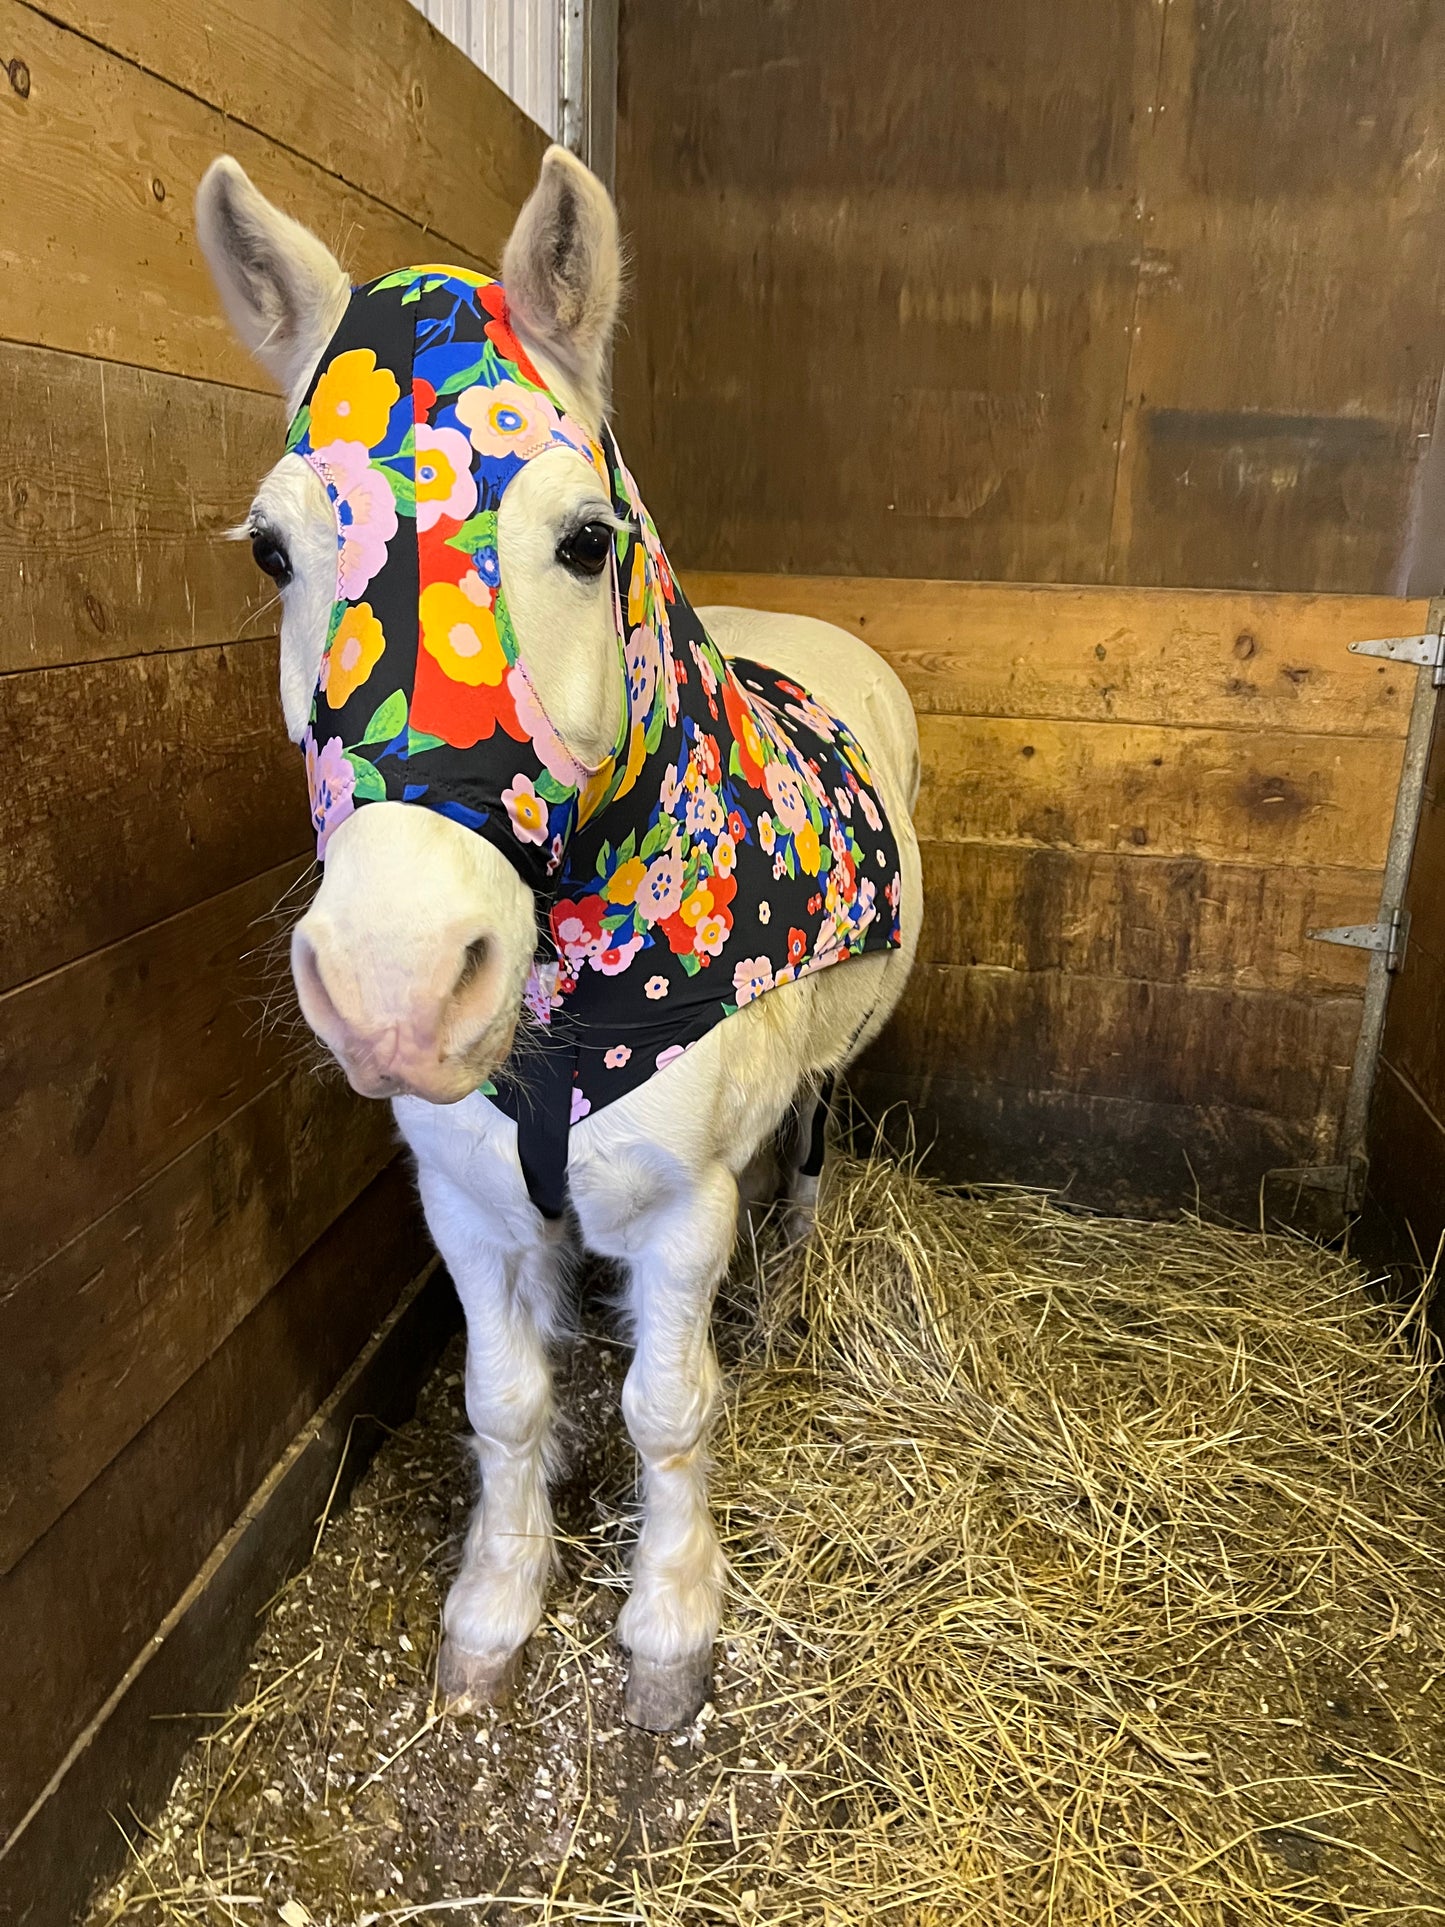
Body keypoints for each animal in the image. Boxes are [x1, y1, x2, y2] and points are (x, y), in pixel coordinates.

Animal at [196, 143, 923, 1732]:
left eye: (586, 541)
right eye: (273, 551)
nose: (395, 985)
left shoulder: (681, 1211)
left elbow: (668, 1408)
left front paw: (667, 1627)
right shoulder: (465, 1205)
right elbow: (505, 1398)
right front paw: (493, 1607)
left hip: (823, 1092)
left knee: (806, 1159)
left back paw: (782, 1294)